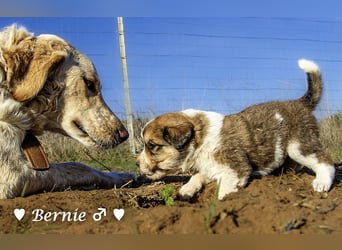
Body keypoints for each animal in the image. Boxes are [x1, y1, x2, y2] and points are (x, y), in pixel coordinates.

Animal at [136, 59, 334, 201]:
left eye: (152, 146)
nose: (137, 163)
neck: (200, 140)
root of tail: (300, 102)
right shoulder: (211, 168)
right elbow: (197, 176)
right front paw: (186, 190)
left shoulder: (234, 170)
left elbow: (224, 191)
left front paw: (224, 202)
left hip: (299, 144)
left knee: (324, 161)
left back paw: (321, 183)